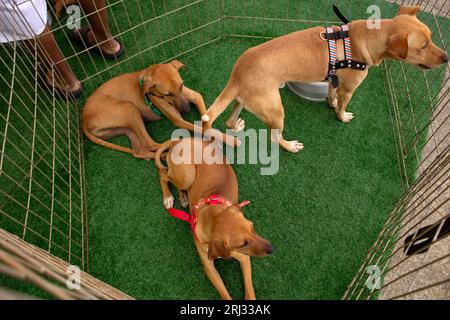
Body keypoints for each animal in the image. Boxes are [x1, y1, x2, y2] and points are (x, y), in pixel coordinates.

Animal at [82, 59, 211, 159]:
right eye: (167, 94)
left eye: (182, 85)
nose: (187, 109)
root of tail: (84, 119)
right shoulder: (178, 120)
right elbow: (199, 128)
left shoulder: (196, 97)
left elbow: (207, 120)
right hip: (129, 109)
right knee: (150, 143)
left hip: (125, 128)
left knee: (139, 149)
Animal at [155, 138, 274, 300]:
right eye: (243, 243)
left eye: (253, 228)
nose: (271, 249)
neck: (212, 215)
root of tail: (179, 140)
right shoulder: (209, 268)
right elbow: (225, 294)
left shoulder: (244, 258)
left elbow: (249, 290)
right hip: (187, 175)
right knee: (162, 173)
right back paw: (168, 196)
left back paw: (183, 197)